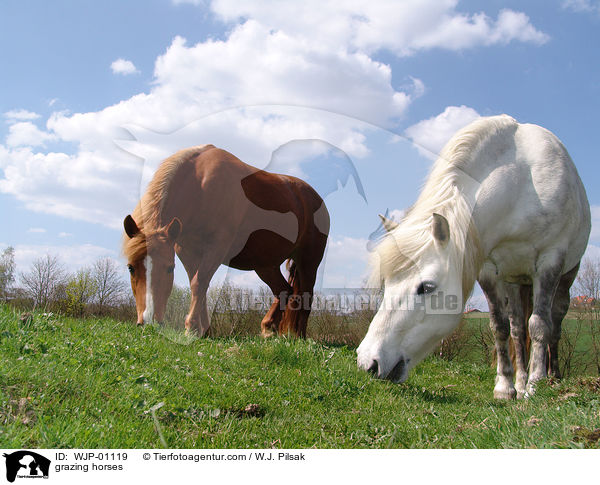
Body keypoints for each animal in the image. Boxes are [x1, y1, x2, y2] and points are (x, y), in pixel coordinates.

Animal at [121, 145, 328, 336]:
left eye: (169, 268)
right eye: (130, 268)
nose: (148, 322)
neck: (201, 186)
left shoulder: (217, 247)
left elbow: (199, 283)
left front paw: (191, 328)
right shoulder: (186, 251)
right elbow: (198, 286)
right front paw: (203, 331)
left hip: (308, 262)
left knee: (306, 297)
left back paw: (298, 336)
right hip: (265, 265)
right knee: (284, 290)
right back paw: (268, 328)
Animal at [356, 114, 592, 398]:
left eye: (426, 287)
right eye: (386, 285)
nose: (368, 361)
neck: (521, 181)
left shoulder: (550, 261)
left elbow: (539, 325)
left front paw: (536, 385)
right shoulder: (489, 270)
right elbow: (500, 327)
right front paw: (505, 387)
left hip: (566, 276)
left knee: (554, 323)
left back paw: (552, 377)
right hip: (514, 280)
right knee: (517, 329)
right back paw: (520, 381)